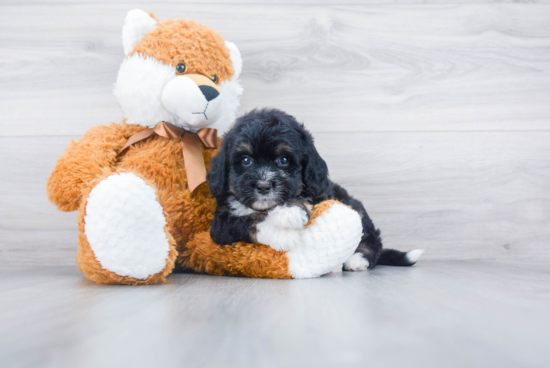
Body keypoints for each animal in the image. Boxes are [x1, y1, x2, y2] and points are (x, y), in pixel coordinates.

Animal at [207, 108, 422, 268]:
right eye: (245, 160)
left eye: (283, 160)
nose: (263, 185)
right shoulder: (220, 225)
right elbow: (247, 221)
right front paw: (281, 233)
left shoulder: (320, 193)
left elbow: (302, 198)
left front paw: (290, 211)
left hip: (355, 206)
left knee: (372, 240)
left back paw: (356, 260)